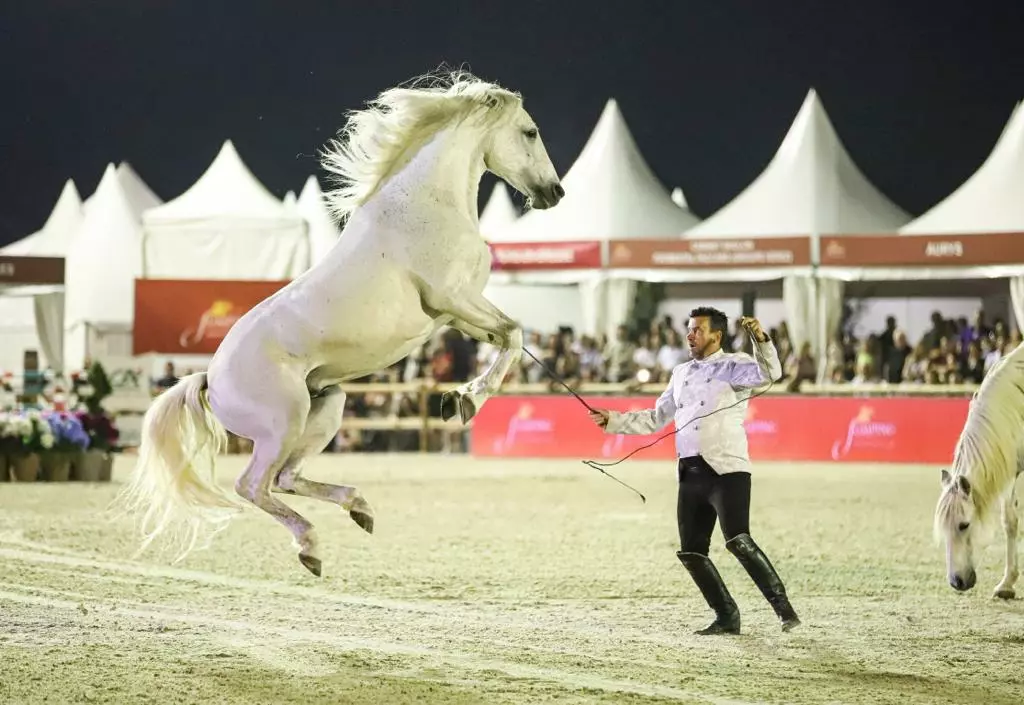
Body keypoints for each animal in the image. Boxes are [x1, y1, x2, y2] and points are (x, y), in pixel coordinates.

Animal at [116, 71, 564, 576]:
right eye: (530, 132)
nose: (555, 193)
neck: (426, 205)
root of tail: (210, 379)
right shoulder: (454, 297)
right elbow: (515, 334)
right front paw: (464, 401)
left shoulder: (456, 314)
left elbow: (507, 337)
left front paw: (459, 398)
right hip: (282, 423)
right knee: (254, 485)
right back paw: (310, 546)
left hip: (329, 403)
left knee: (287, 477)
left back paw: (358, 508)